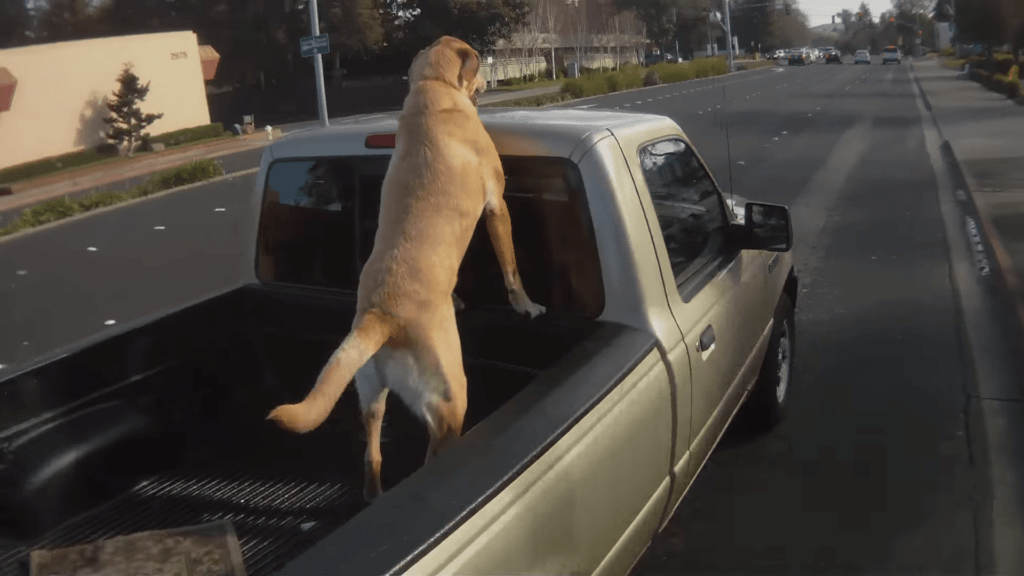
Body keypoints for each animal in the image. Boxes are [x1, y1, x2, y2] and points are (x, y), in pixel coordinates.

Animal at [268, 35, 548, 500]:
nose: (487, 84)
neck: (432, 89)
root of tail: (380, 318)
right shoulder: (497, 207)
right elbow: (511, 269)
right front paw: (527, 306)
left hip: (368, 391)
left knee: (373, 454)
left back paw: (375, 493)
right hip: (449, 398)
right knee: (434, 452)